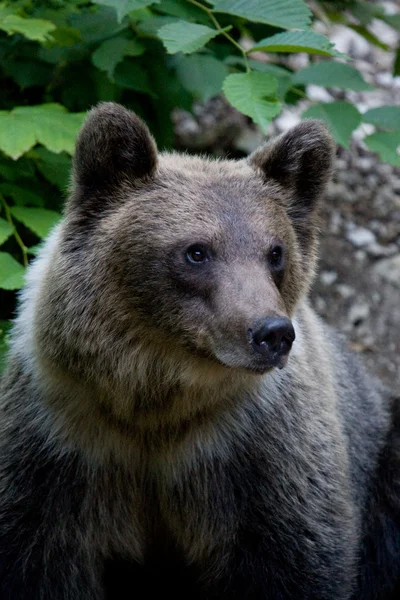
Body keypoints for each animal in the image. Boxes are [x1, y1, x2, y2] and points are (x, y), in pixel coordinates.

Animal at [0, 103, 398, 600]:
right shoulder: (61, 441)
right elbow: (37, 555)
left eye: (275, 252)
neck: (157, 400)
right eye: (196, 251)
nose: (271, 333)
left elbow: (296, 557)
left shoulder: (259, 458)